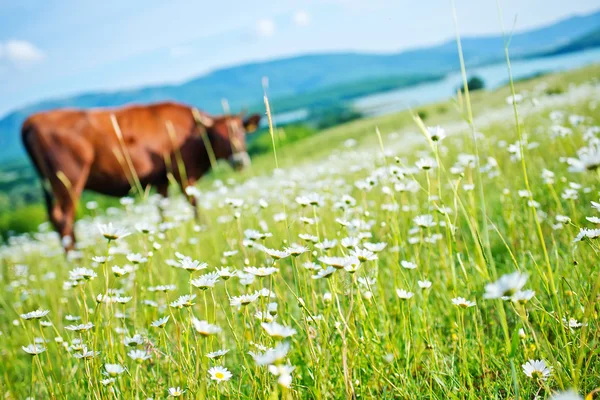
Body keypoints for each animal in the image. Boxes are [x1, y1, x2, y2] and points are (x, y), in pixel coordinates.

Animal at [21, 101, 260, 250]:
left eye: (241, 132)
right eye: (218, 137)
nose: (240, 161)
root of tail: (32, 120)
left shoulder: (161, 180)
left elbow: (162, 210)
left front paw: (165, 238)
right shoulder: (183, 174)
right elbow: (194, 204)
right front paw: (203, 229)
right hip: (68, 180)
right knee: (64, 219)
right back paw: (76, 259)